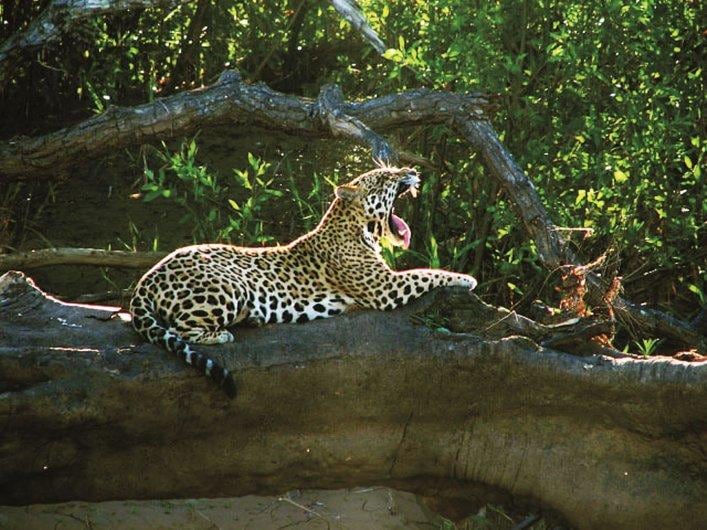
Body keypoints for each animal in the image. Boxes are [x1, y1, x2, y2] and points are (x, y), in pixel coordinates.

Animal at [129, 166, 477, 398]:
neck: (356, 228)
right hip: (229, 287)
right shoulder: (385, 287)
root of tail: (146, 279)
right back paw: (223, 335)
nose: (413, 170)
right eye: (384, 178)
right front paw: (466, 278)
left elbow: (424, 270)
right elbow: (425, 271)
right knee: (180, 329)